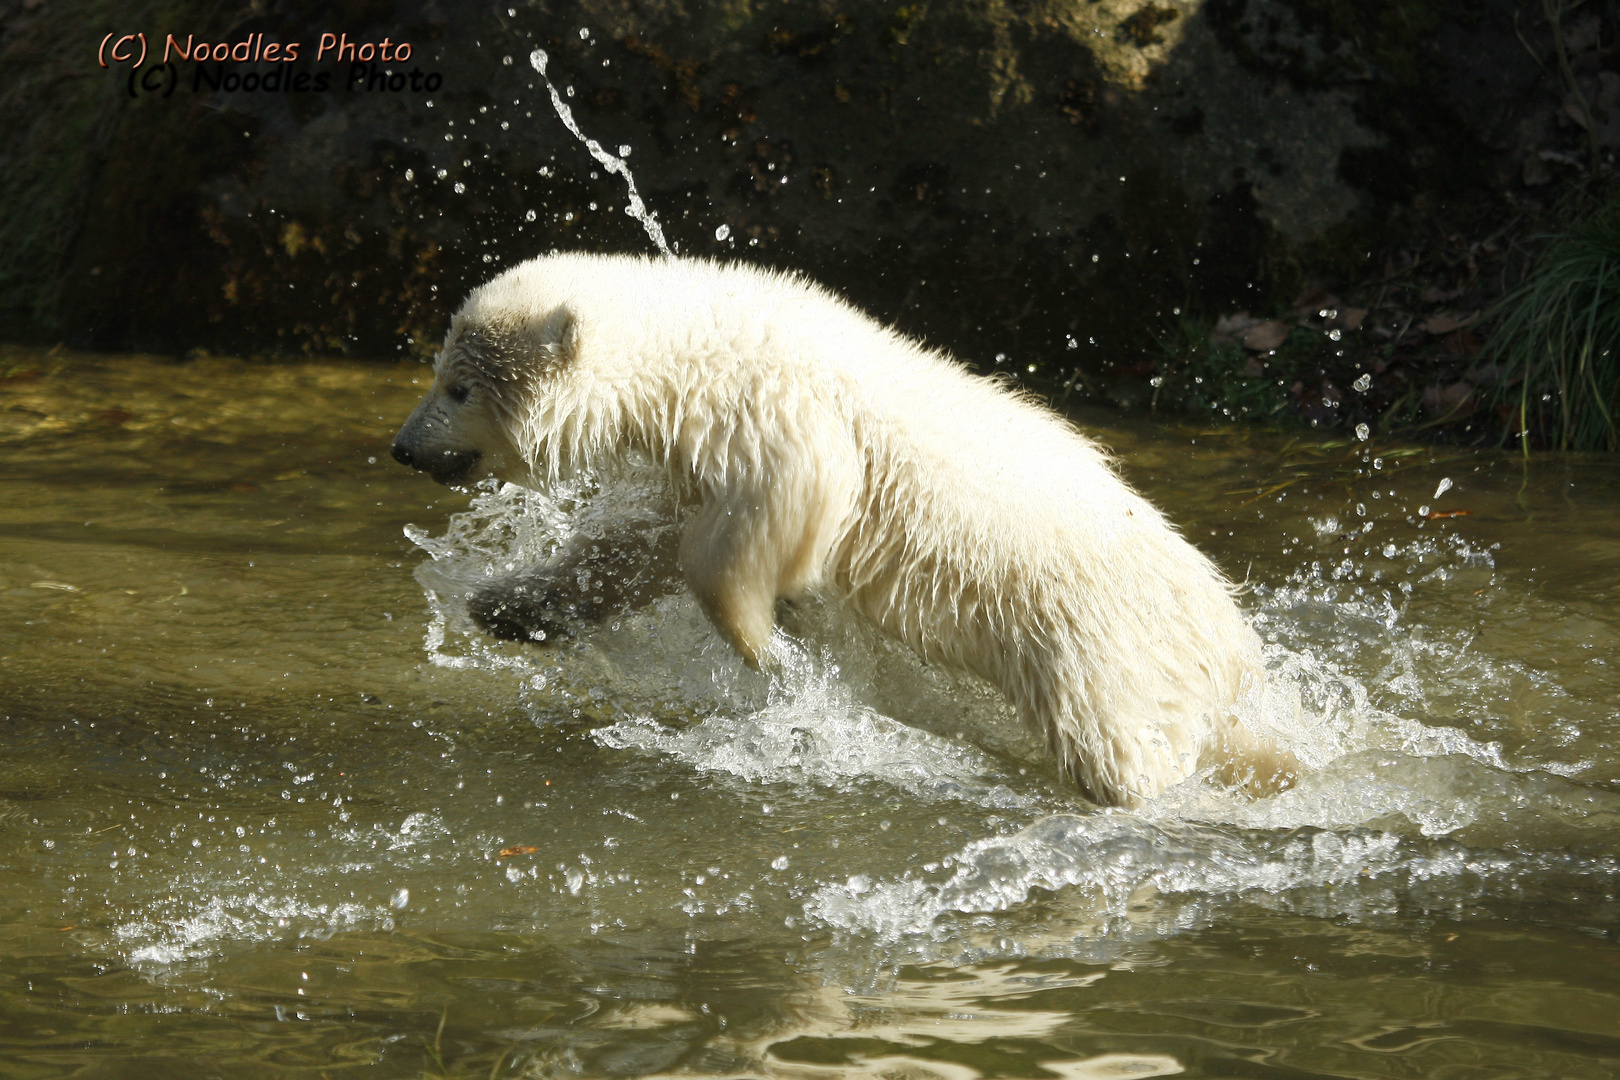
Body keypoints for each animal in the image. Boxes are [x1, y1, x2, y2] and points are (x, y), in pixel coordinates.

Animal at [398, 254, 1296, 806]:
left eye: (458, 387)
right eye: (440, 372)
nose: (405, 447)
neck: (704, 344)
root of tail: (1231, 647)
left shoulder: (782, 416)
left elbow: (760, 530)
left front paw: (768, 643)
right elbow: (641, 542)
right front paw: (511, 604)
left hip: (1096, 643)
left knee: (1114, 742)